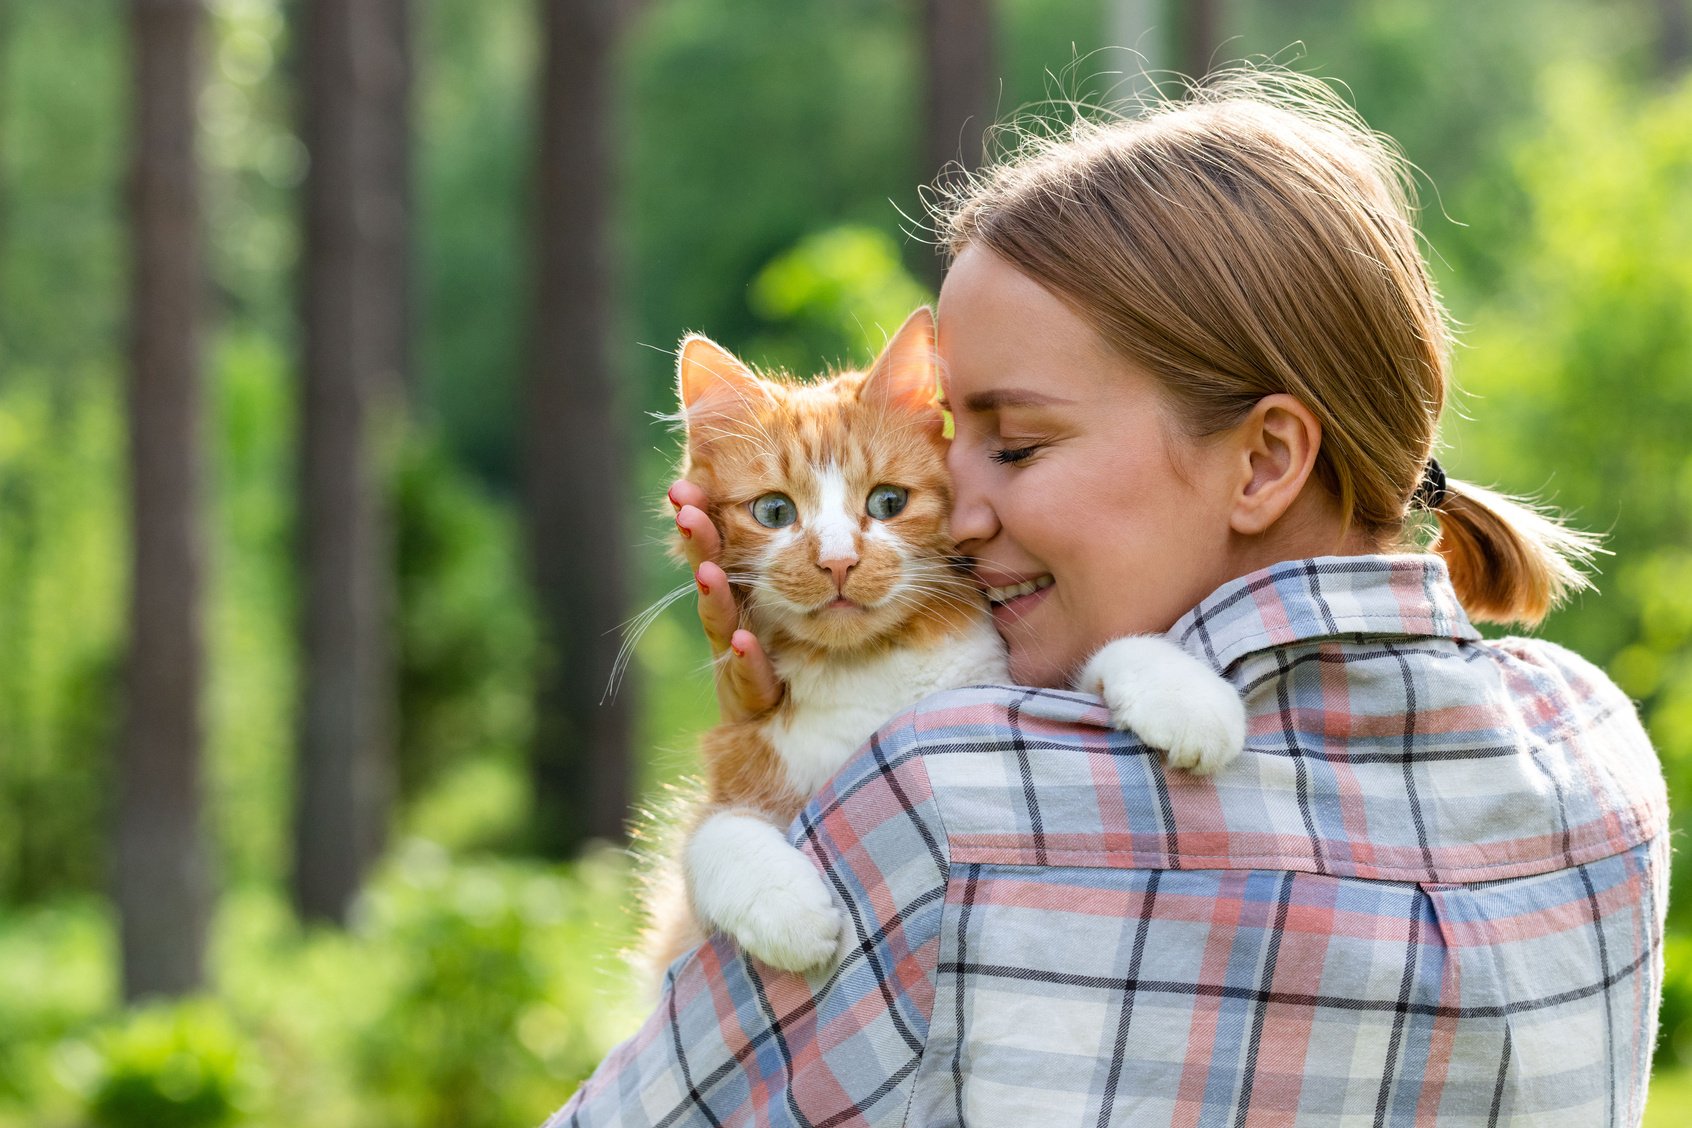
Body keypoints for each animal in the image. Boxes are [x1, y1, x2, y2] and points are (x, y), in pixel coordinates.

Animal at [639, 304, 1252, 974]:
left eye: (887, 501)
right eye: (774, 512)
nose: (837, 561)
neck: (869, 669)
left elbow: (1103, 658)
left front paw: (1187, 698)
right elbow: (712, 836)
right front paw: (787, 909)